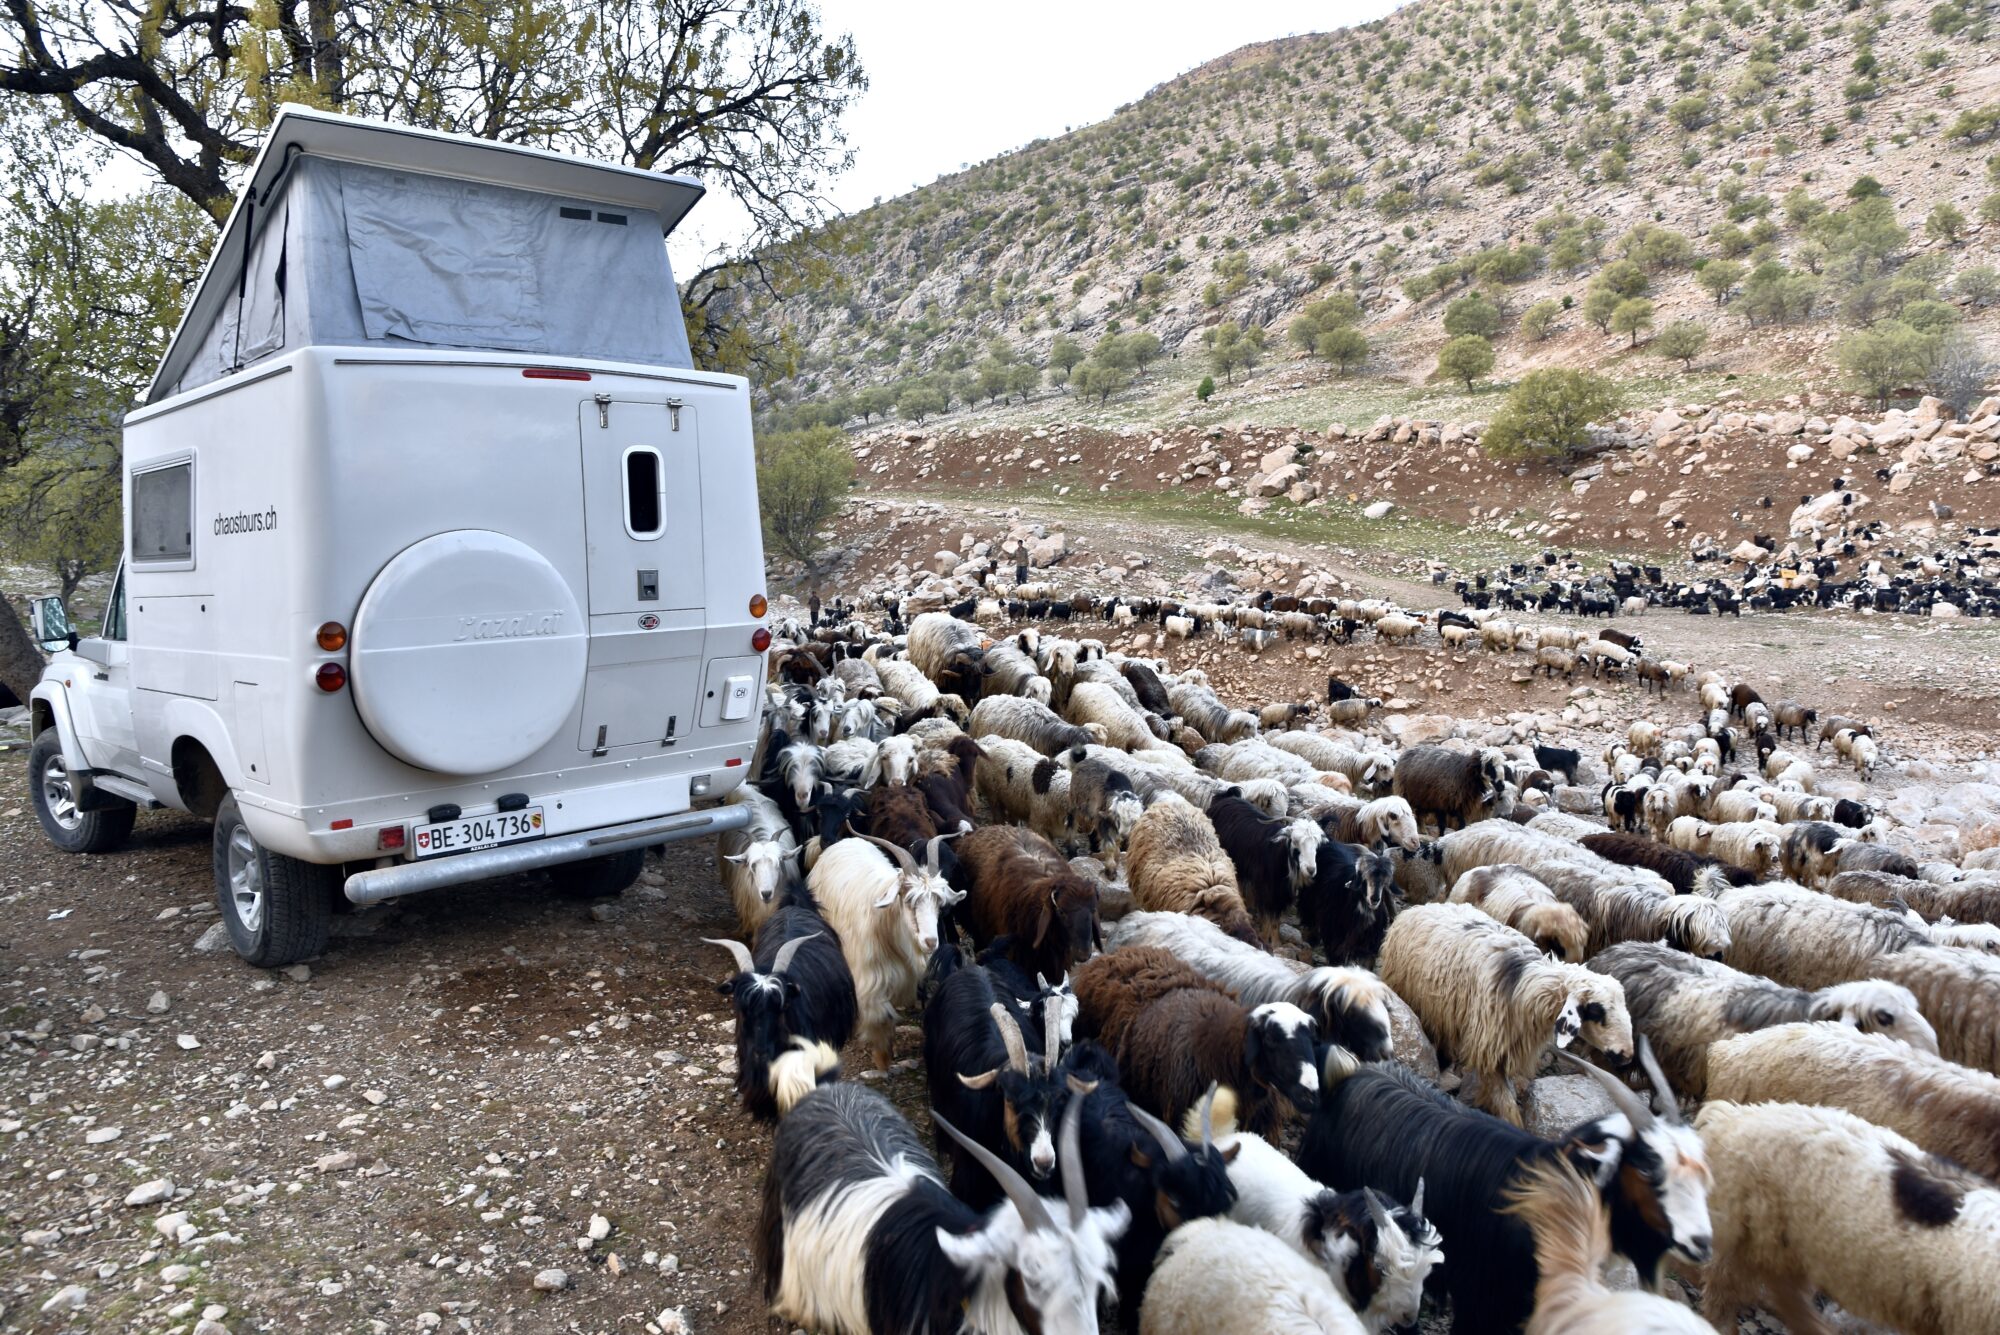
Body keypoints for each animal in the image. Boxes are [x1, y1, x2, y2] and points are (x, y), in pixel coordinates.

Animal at [1384, 895, 1632, 1127]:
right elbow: (1505, 1102)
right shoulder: (1490, 1047)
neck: (1523, 982)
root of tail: (1421, 907)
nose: (1627, 1055)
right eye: (1596, 1011)